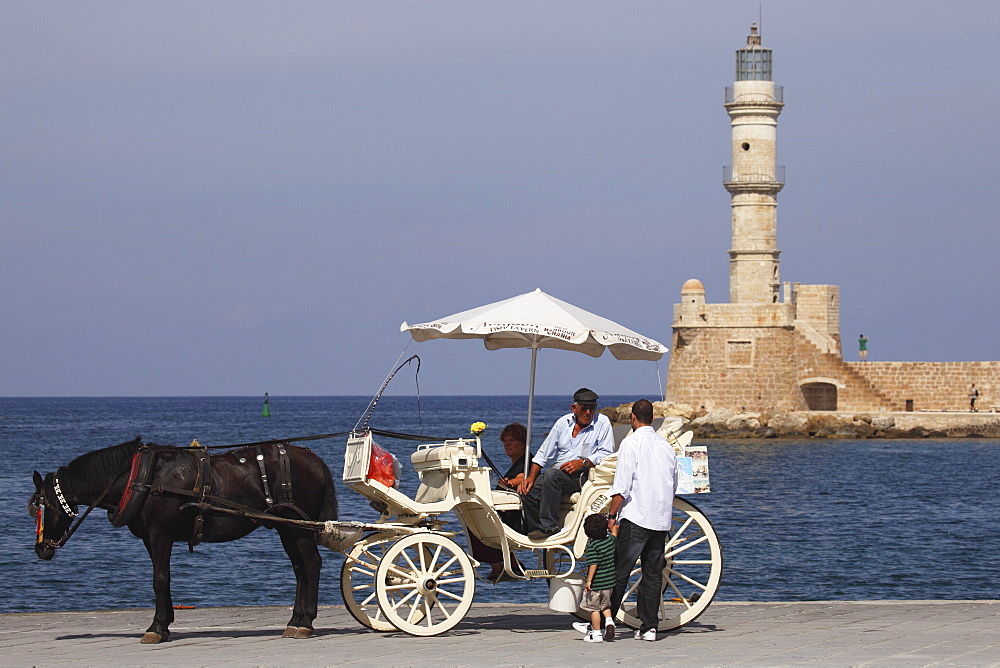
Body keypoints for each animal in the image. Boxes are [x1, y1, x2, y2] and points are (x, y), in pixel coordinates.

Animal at [27, 438, 338, 640]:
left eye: (40, 508)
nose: (41, 549)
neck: (138, 478)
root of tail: (313, 457)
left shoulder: (160, 534)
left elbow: (160, 579)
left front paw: (156, 628)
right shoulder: (149, 539)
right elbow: (162, 579)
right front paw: (165, 624)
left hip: (298, 527)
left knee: (312, 565)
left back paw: (306, 623)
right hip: (288, 527)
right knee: (300, 569)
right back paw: (295, 620)